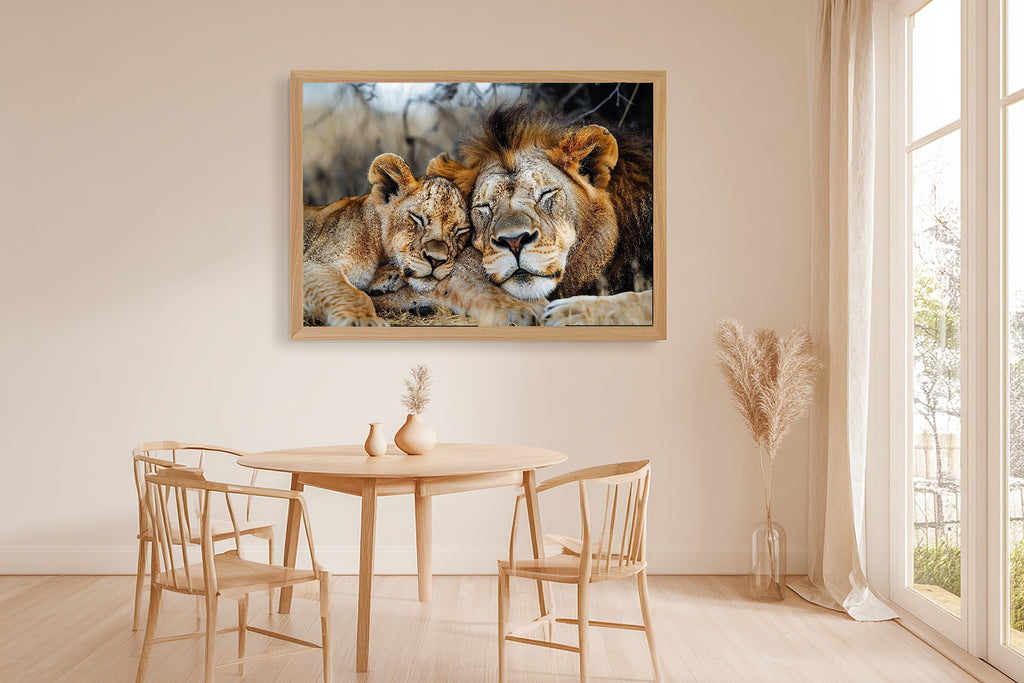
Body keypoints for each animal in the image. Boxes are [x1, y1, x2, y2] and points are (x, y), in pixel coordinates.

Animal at [302, 153, 472, 326]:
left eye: (461, 230)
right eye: (418, 218)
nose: (436, 260)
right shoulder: (316, 263)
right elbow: (351, 294)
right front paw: (365, 320)